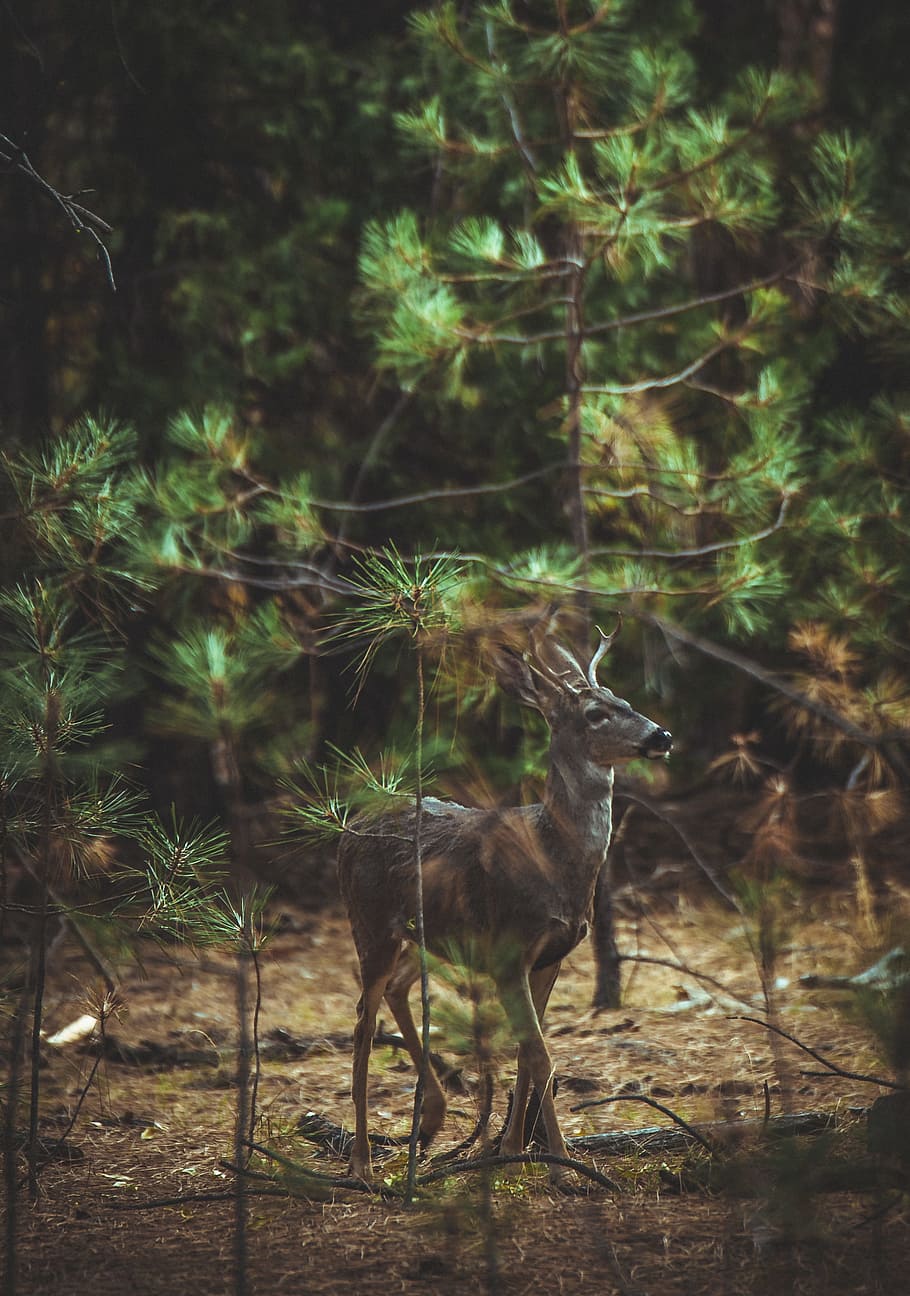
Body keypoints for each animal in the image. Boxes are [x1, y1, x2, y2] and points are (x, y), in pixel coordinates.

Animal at [336, 619, 672, 1188]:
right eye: (595, 714)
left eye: (625, 699)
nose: (660, 735)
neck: (554, 857)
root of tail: (347, 830)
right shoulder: (510, 948)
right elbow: (542, 1057)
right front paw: (562, 1164)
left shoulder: (549, 955)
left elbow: (525, 1054)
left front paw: (513, 1150)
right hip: (370, 921)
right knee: (362, 1021)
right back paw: (361, 1160)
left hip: (424, 937)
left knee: (398, 990)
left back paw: (433, 1118)